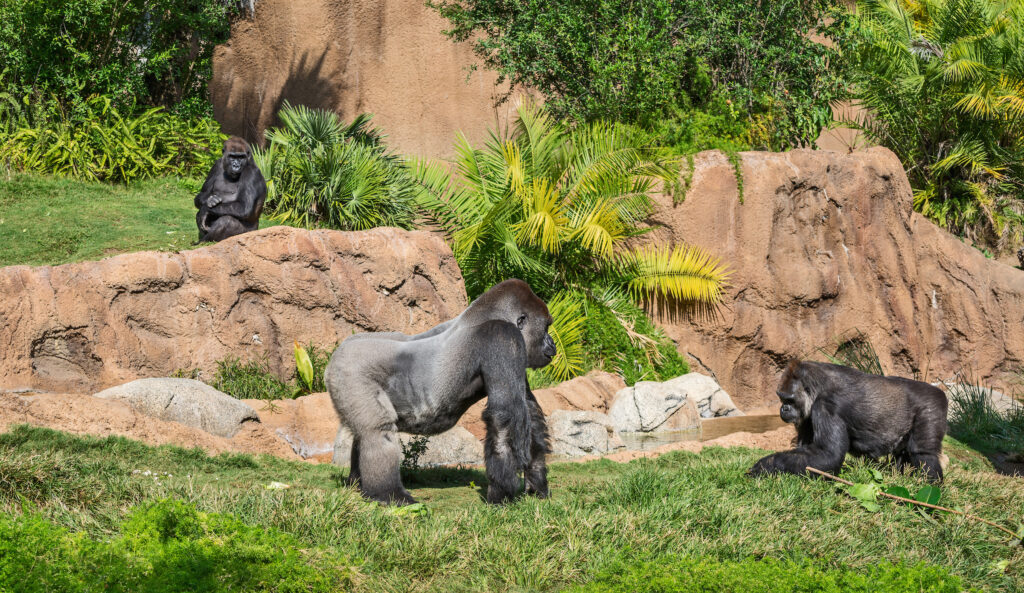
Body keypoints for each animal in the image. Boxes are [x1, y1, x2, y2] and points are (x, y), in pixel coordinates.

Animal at [327, 278, 557, 505]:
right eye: (546, 327)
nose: (552, 343)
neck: (490, 314)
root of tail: (337, 353)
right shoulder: (503, 337)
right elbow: (505, 417)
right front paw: (502, 493)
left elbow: (530, 413)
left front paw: (536, 485)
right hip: (350, 372)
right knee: (376, 431)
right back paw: (389, 494)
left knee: (363, 433)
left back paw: (359, 485)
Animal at [749, 362, 946, 483]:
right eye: (781, 398)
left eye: (789, 400)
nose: (783, 409)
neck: (817, 387)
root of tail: (939, 392)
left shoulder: (826, 406)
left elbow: (829, 455)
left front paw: (768, 464)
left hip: (932, 404)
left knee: (924, 454)